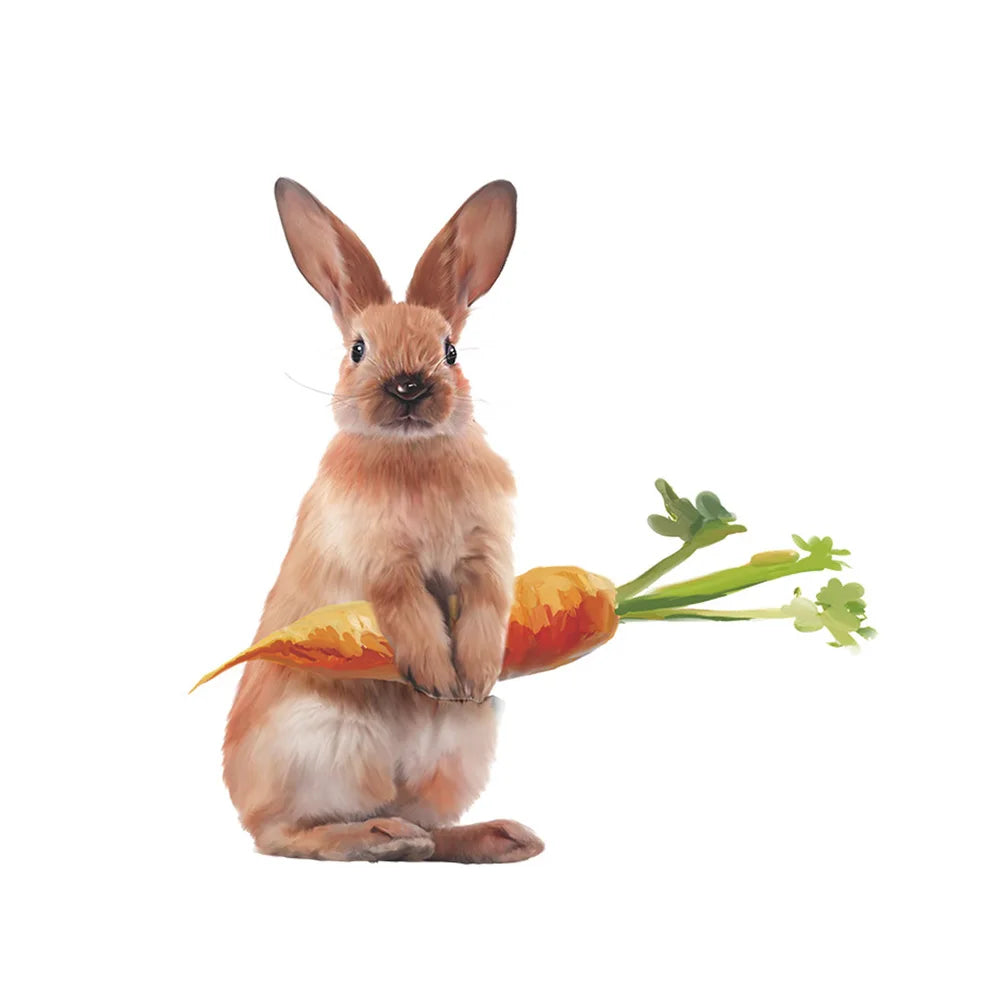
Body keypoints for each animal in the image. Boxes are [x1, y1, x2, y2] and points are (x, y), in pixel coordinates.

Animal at [221, 178, 544, 863]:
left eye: (450, 350)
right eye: (357, 349)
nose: (408, 387)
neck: (411, 454)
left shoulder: (487, 554)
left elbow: (487, 604)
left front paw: (472, 677)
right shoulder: (381, 562)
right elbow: (410, 611)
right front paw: (437, 676)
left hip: (458, 753)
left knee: (429, 828)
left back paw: (499, 838)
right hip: (327, 742)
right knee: (286, 834)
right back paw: (378, 837)